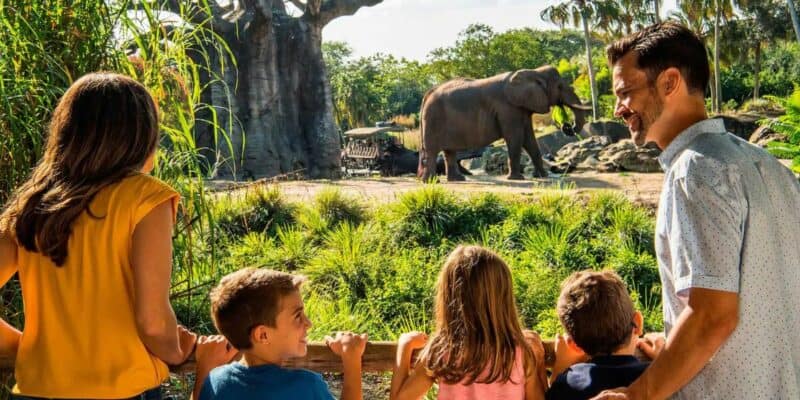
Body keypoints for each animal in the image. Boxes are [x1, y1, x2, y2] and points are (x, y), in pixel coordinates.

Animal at [418, 65, 592, 181]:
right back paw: (431, 182)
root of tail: (428, 94)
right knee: (432, 151)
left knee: (449, 151)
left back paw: (456, 180)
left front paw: (542, 176)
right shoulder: (508, 108)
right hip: (433, 119)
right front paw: (517, 178)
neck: (533, 72)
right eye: (560, 86)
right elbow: (515, 138)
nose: (567, 126)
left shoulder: (521, 108)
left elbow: (530, 139)